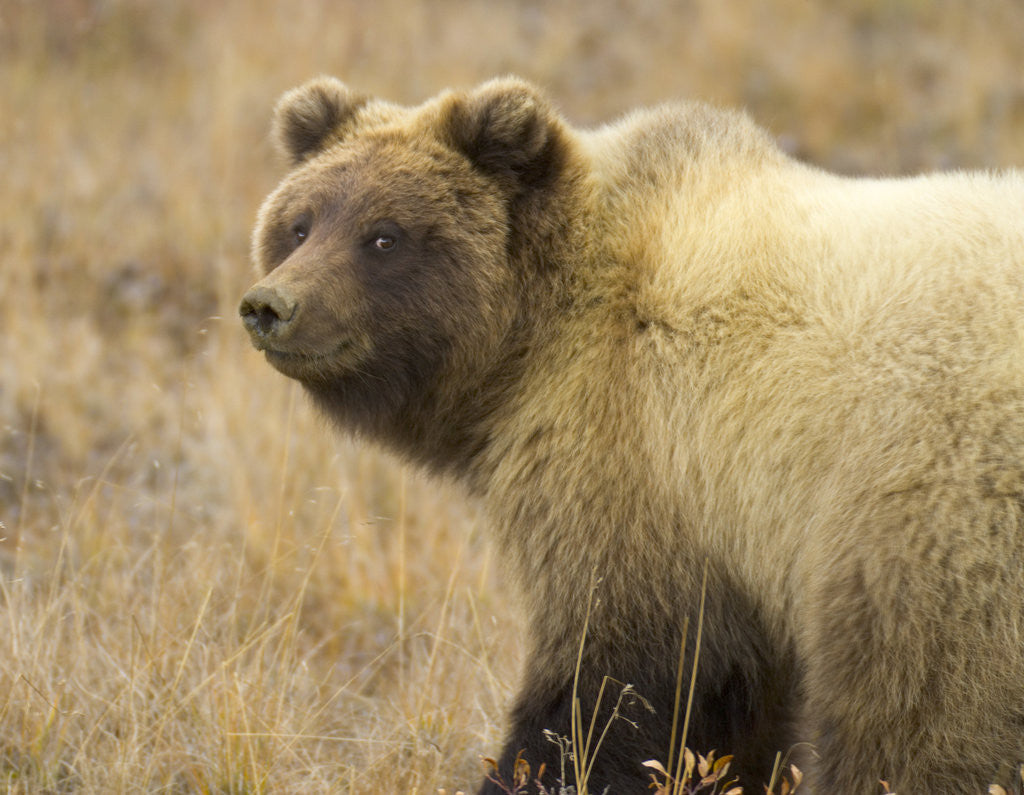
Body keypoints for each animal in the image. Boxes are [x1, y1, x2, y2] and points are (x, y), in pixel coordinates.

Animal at [239, 75, 1024, 794]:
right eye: (300, 223)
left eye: (384, 235)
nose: (270, 306)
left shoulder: (635, 464)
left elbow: (615, 680)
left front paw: (532, 768)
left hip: (920, 517)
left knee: (916, 717)